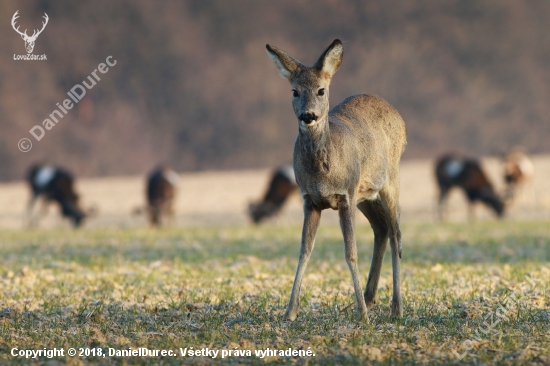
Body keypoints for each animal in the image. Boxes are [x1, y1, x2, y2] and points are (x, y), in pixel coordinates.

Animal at [266, 39, 406, 320]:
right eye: (294, 91)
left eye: (321, 90)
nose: (308, 115)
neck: (323, 174)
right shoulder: (310, 200)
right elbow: (304, 251)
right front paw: (290, 312)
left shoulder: (345, 196)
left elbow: (350, 252)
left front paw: (362, 316)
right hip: (364, 195)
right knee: (381, 228)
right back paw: (369, 298)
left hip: (390, 180)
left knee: (396, 234)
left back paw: (395, 308)